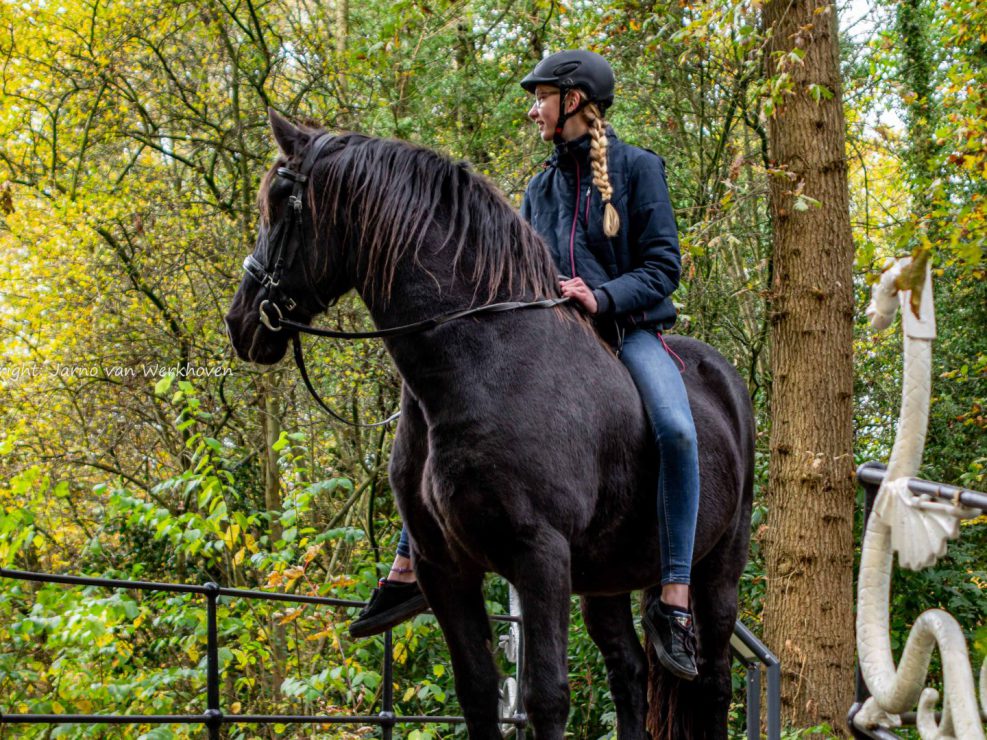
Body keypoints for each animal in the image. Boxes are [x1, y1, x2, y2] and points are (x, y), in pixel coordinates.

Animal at [225, 109, 755, 740]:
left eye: (281, 202)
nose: (239, 322)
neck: (485, 358)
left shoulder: (539, 557)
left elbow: (545, 696)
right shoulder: (445, 568)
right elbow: (477, 692)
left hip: (716, 572)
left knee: (713, 684)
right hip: (604, 580)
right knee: (628, 675)